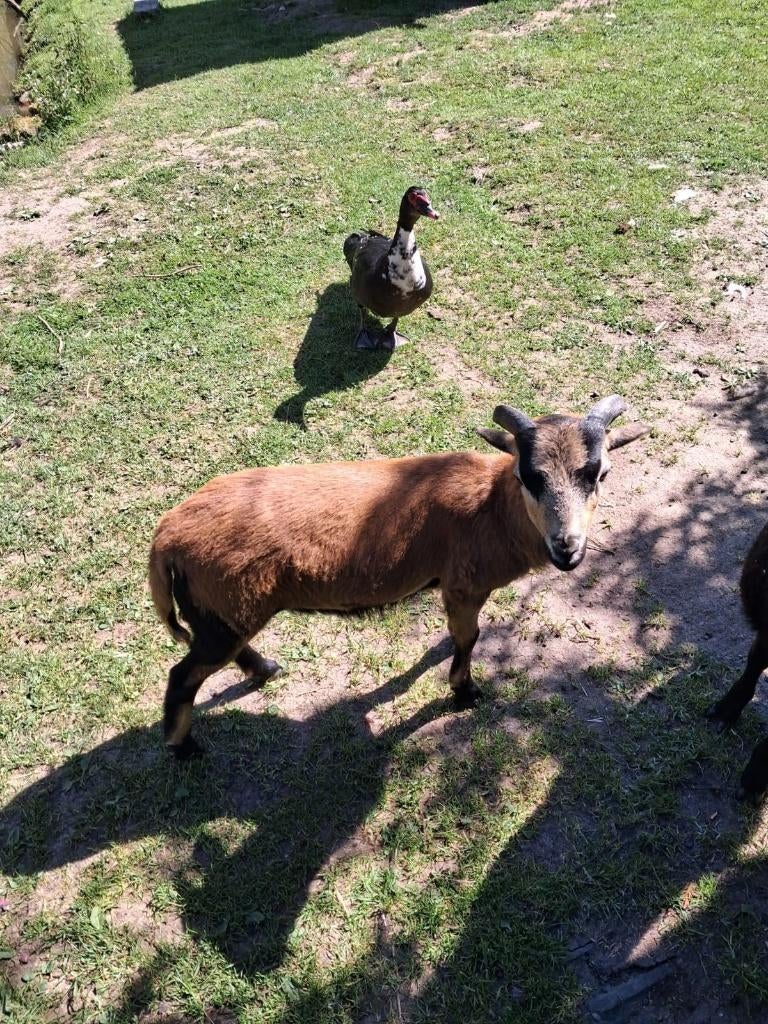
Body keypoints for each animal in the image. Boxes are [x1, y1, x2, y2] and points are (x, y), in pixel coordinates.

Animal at [149, 395, 648, 758]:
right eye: (529, 477)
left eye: (600, 474)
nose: (568, 550)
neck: (492, 508)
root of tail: (167, 535)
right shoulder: (463, 583)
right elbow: (469, 637)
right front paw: (465, 691)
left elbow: (461, 636)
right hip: (224, 610)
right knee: (183, 676)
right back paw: (184, 747)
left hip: (225, 611)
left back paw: (266, 669)